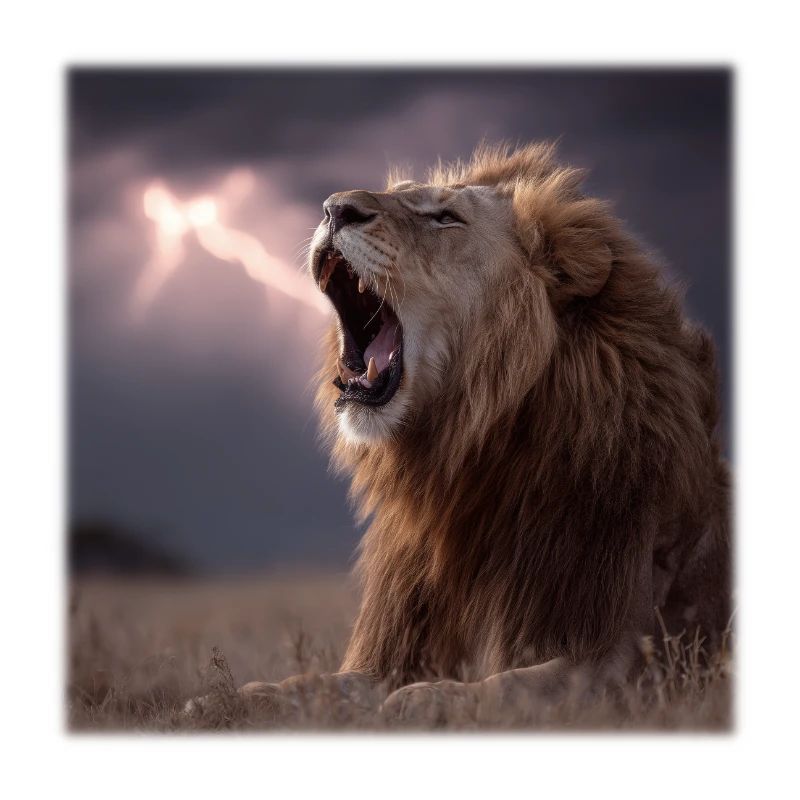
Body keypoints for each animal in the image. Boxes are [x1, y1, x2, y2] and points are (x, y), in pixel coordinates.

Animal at [237, 142, 731, 725]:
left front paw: (426, 700)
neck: (461, 469)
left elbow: (510, 686)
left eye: (446, 218)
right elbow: (317, 684)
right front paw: (234, 698)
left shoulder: (625, 660)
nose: (335, 208)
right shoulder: (397, 652)